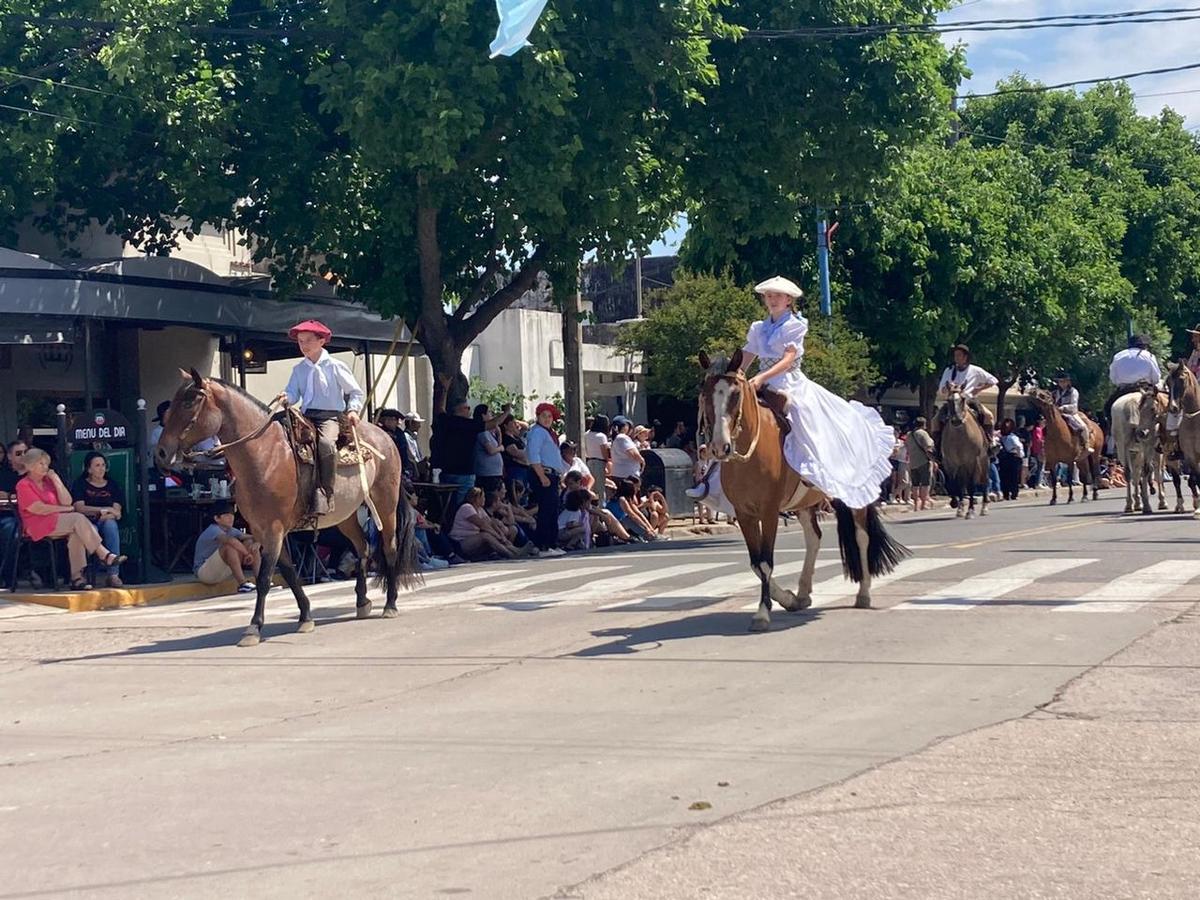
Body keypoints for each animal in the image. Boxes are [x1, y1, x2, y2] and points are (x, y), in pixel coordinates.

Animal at [154, 367, 420, 648]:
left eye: (188, 403)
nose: (161, 453)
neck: (264, 454)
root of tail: (385, 436)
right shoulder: (262, 530)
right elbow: (289, 573)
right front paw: (305, 617)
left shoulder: (274, 529)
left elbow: (264, 579)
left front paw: (254, 628)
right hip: (345, 516)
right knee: (363, 547)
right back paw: (361, 601)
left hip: (385, 504)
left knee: (389, 548)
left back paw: (390, 604)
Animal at [700, 352, 902, 633]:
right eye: (705, 392)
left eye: (736, 394)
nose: (720, 447)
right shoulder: (744, 513)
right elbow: (755, 563)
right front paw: (787, 598)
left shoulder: (769, 511)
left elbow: (765, 562)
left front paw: (762, 613)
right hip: (805, 503)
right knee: (813, 537)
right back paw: (803, 593)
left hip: (855, 498)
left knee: (862, 537)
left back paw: (864, 594)